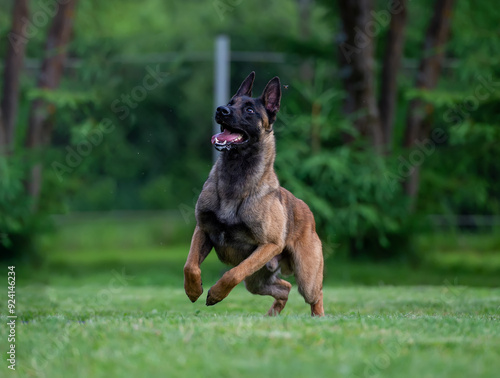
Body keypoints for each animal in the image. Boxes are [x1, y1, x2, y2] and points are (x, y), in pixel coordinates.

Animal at [184, 71, 324, 316]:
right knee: (285, 288)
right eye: (231, 102)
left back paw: (318, 318)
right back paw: (272, 315)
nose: (221, 110)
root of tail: (307, 210)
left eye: (249, 110)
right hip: (258, 281)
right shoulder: (203, 229)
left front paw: (216, 294)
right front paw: (193, 290)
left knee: (315, 295)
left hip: (306, 278)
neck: (236, 177)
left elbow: (233, 273)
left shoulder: (268, 245)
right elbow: (190, 265)